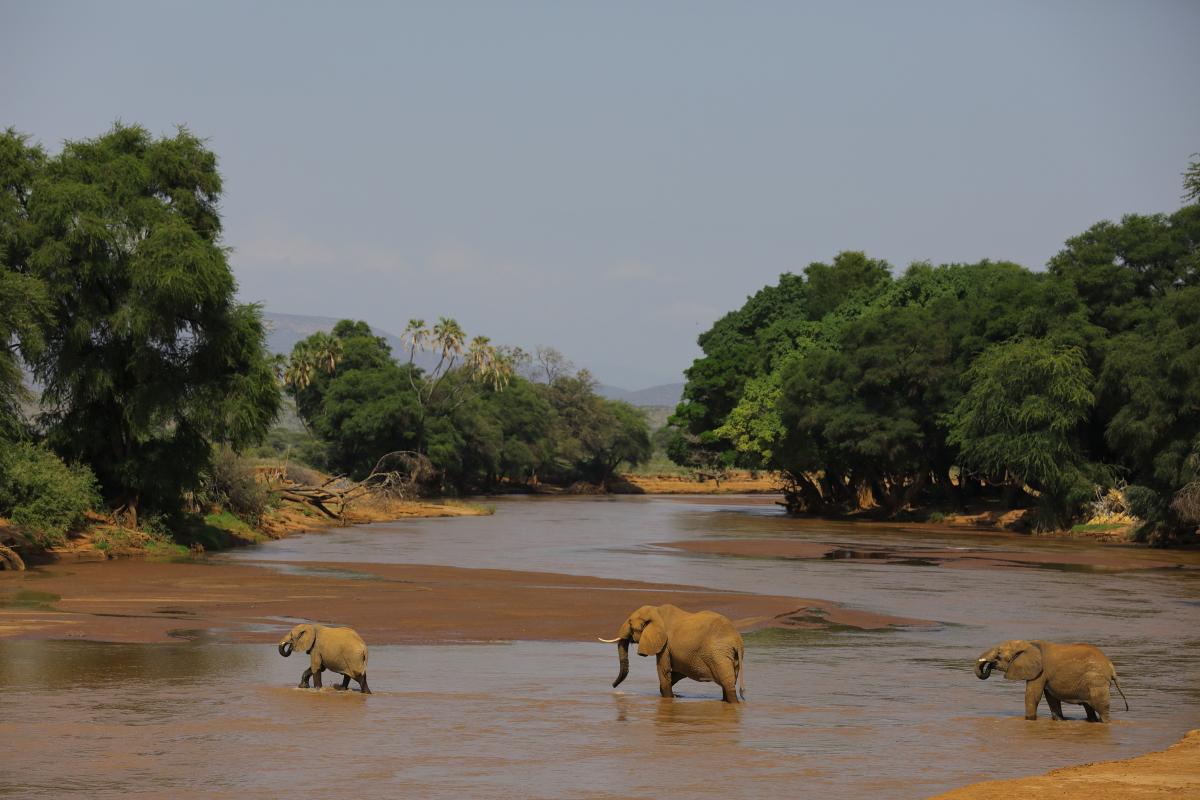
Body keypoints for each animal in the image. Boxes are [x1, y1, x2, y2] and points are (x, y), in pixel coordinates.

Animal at [599, 604, 746, 703]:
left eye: (630, 623)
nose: (613, 686)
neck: (657, 611)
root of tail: (737, 640)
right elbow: (676, 672)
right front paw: (675, 697)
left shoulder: (665, 644)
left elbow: (663, 670)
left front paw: (669, 698)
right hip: (730, 656)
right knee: (728, 682)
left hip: (719, 654)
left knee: (727, 683)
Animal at [975, 639, 1127, 722]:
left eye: (999, 653)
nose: (989, 665)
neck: (1028, 644)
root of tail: (1111, 666)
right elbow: (1051, 698)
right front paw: (1059, 720)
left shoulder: (1040, 672)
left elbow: (1032, 695)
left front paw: (1029, 720)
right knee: (1089, 708)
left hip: (1096, 681)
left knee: (1101, 707)